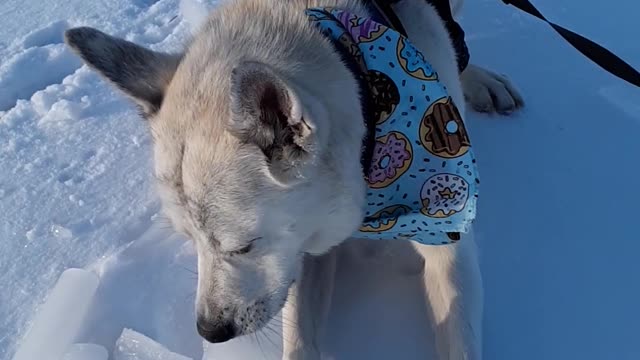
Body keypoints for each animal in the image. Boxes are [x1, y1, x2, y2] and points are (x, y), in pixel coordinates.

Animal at [66, 1, 520, 358]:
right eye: (187, 239)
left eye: (243, 246)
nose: (210, 331)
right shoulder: (305, 246)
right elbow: (299, 333)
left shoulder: (446, 224)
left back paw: (481, 79)